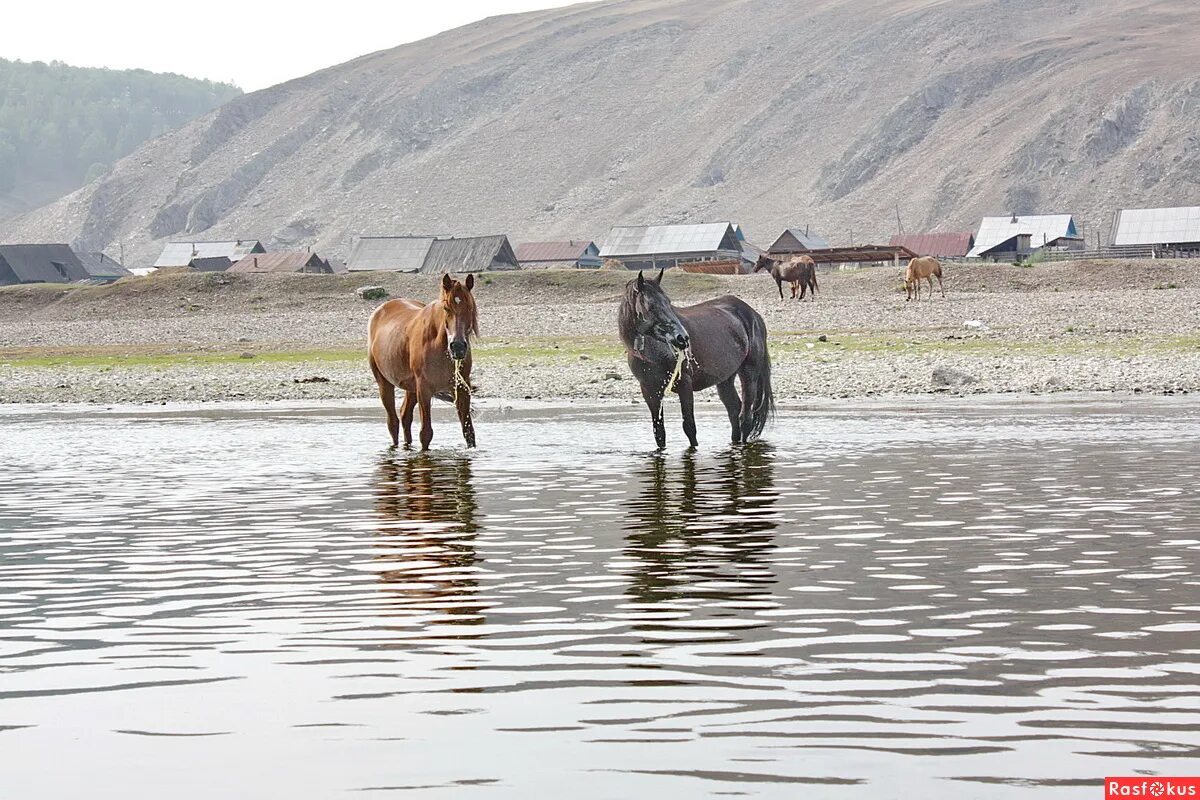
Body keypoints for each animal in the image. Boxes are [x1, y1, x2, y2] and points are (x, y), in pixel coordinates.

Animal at [364, 273, 477, 450]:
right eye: (446, 308)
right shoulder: (424, 389)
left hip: (411, 388)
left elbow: (469, 433)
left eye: (470, 307)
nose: (458, 346)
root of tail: (380, 310)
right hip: (384, 383)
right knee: (393, 422)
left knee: (405, 417)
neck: (439, 345)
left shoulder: (461, 388)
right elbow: (426, 433)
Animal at [619, 271, 777, 450]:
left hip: (749, 373)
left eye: (668, 302)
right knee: (734, 412)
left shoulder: (684, 385)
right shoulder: (650, 391)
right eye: (650, 306)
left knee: (745, 418)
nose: (682, 338)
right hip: (725, 380)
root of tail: (753, 315)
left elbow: (689, 426)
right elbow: (659, 432)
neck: (653, 352)